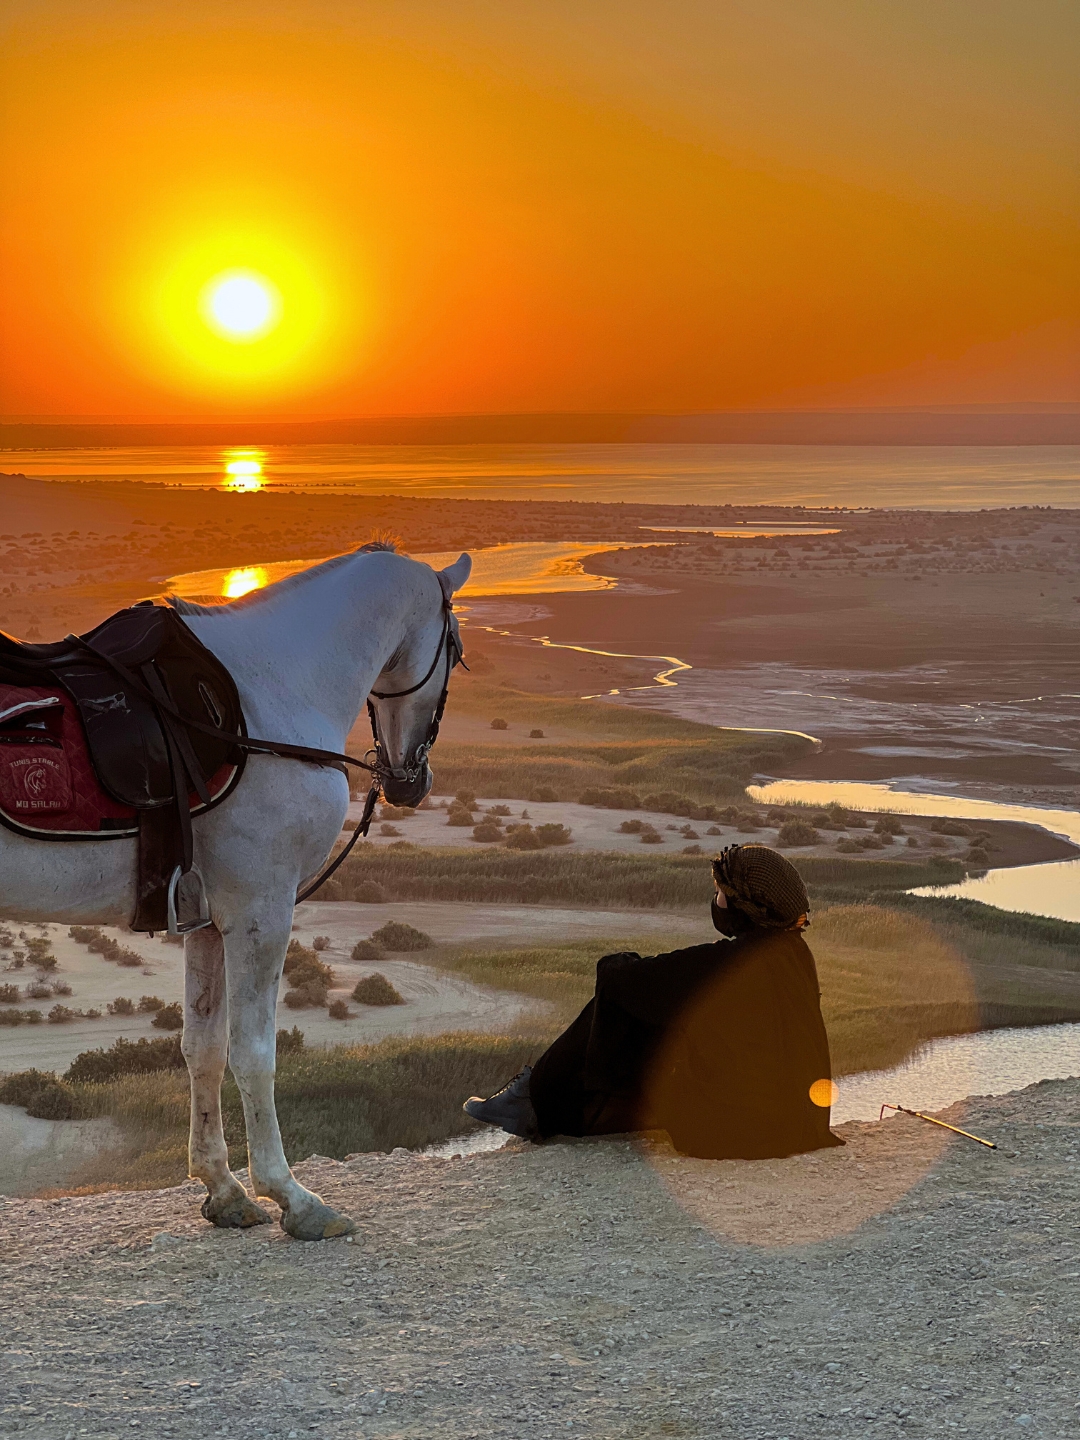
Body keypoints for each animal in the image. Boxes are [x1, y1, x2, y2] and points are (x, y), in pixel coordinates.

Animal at [0, 544, 472, 1239]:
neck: (273, 688)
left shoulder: (206, 918)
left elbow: (202, 1048)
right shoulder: (260, 910)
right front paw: (292, 1197)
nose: (412, 781)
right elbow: (254, 1052)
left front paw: (222, 1189)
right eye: (456, 648)